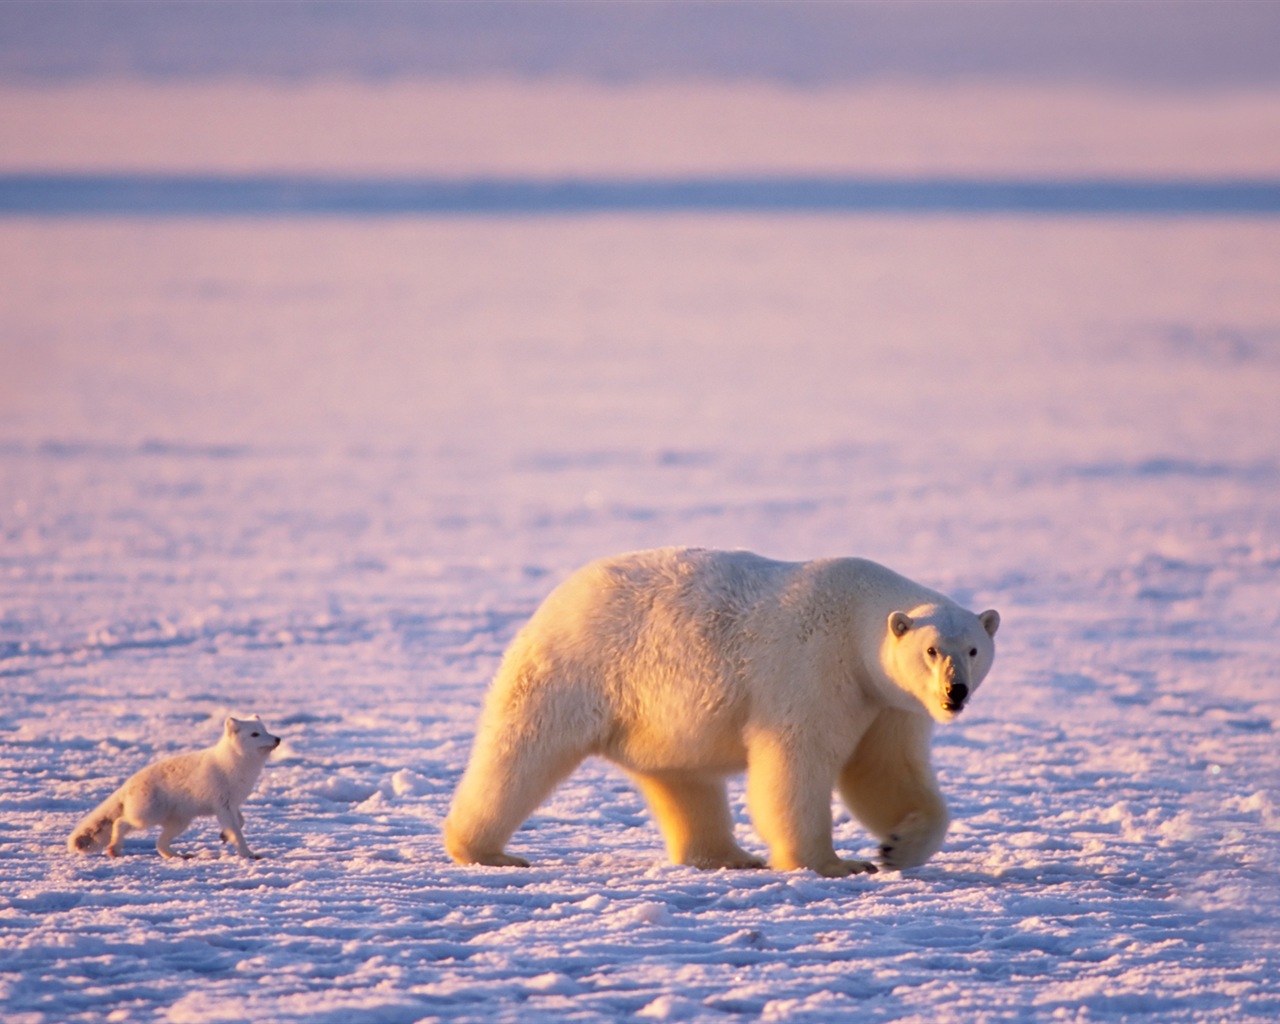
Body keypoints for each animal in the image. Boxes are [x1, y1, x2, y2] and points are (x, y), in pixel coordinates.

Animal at [67, 716, 280, 860]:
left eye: (266, 729)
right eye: (255, 734)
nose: (277, 738)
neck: (236, 766)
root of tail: (128, 783)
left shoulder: (233, 803)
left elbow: (241, 822)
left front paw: (224, 836)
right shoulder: (223, 805)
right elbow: (237, 831)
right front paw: (248, 853)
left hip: (180, 822)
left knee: (159, 843)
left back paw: (178, 856)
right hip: (147, 816)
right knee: (120, 822)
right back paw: (114, 849)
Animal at [445, 547, 993, 875]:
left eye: (973, 649)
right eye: (931, 650)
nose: (955, 692)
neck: (856, 616)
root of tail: (557, 598)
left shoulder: (888, 701)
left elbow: (884, 770)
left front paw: (896, 845)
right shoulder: (813, 669)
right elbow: (797, 763)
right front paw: (833, 863)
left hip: (657, 718)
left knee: (684, 781)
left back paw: (728, 855)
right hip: (578, 670)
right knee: (523, 752)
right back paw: (487, 851)